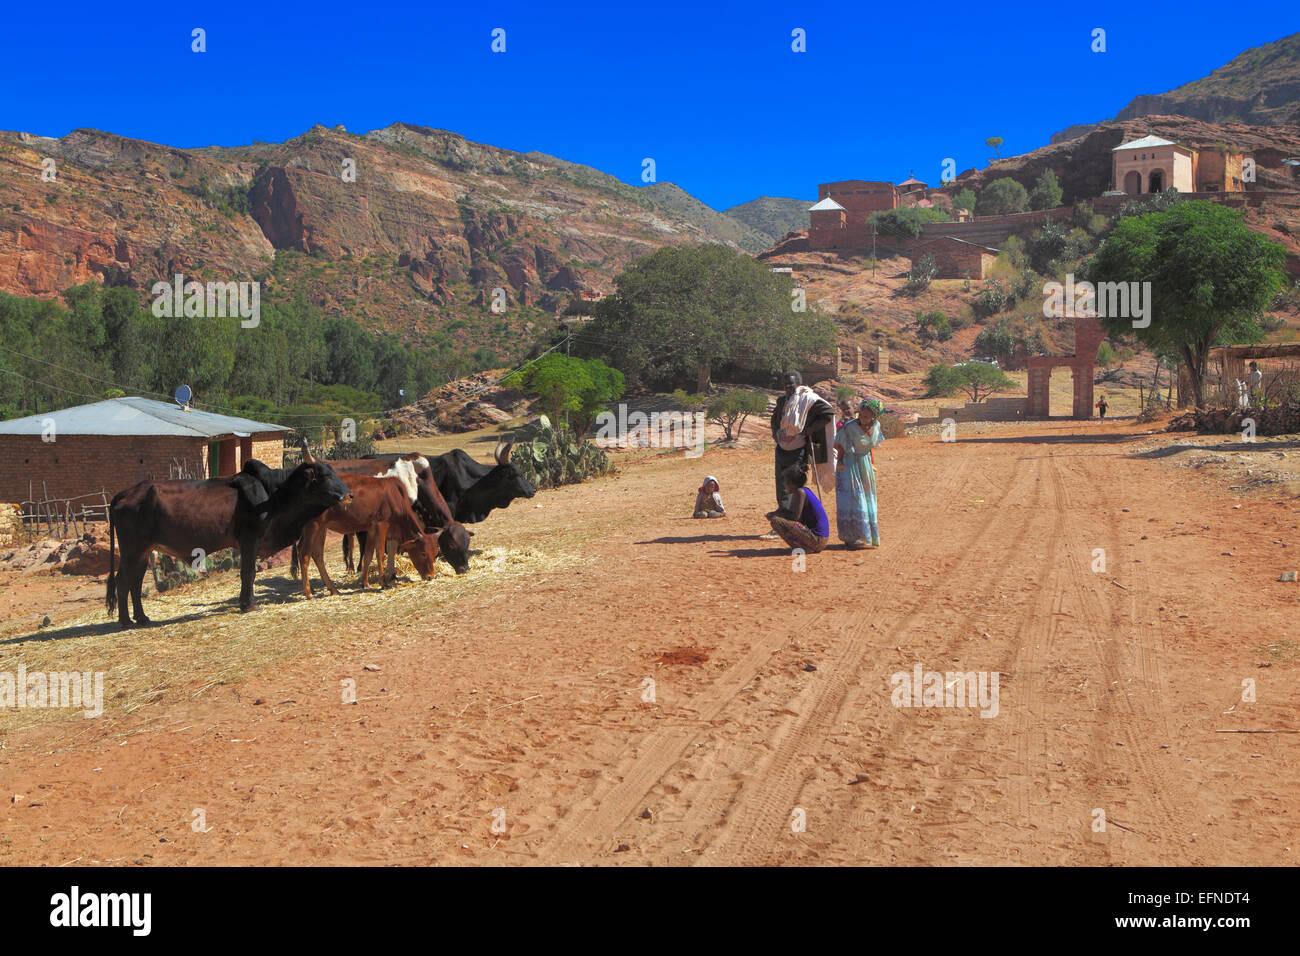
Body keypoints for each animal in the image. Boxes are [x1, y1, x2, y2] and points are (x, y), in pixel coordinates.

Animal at [297, 473, 436, 598]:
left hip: (321, 527)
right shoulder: (381, 524)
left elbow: (368, 554)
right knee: (304, 555)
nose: (431, 576)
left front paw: (365, 583)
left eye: (435, 554)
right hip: (313, 525)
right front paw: (383, 582)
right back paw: (308, 593)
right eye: (423, 553)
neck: (394, 496)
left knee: (317, 555)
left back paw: (333, 589)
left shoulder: (371, 529)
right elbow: (380, 553)